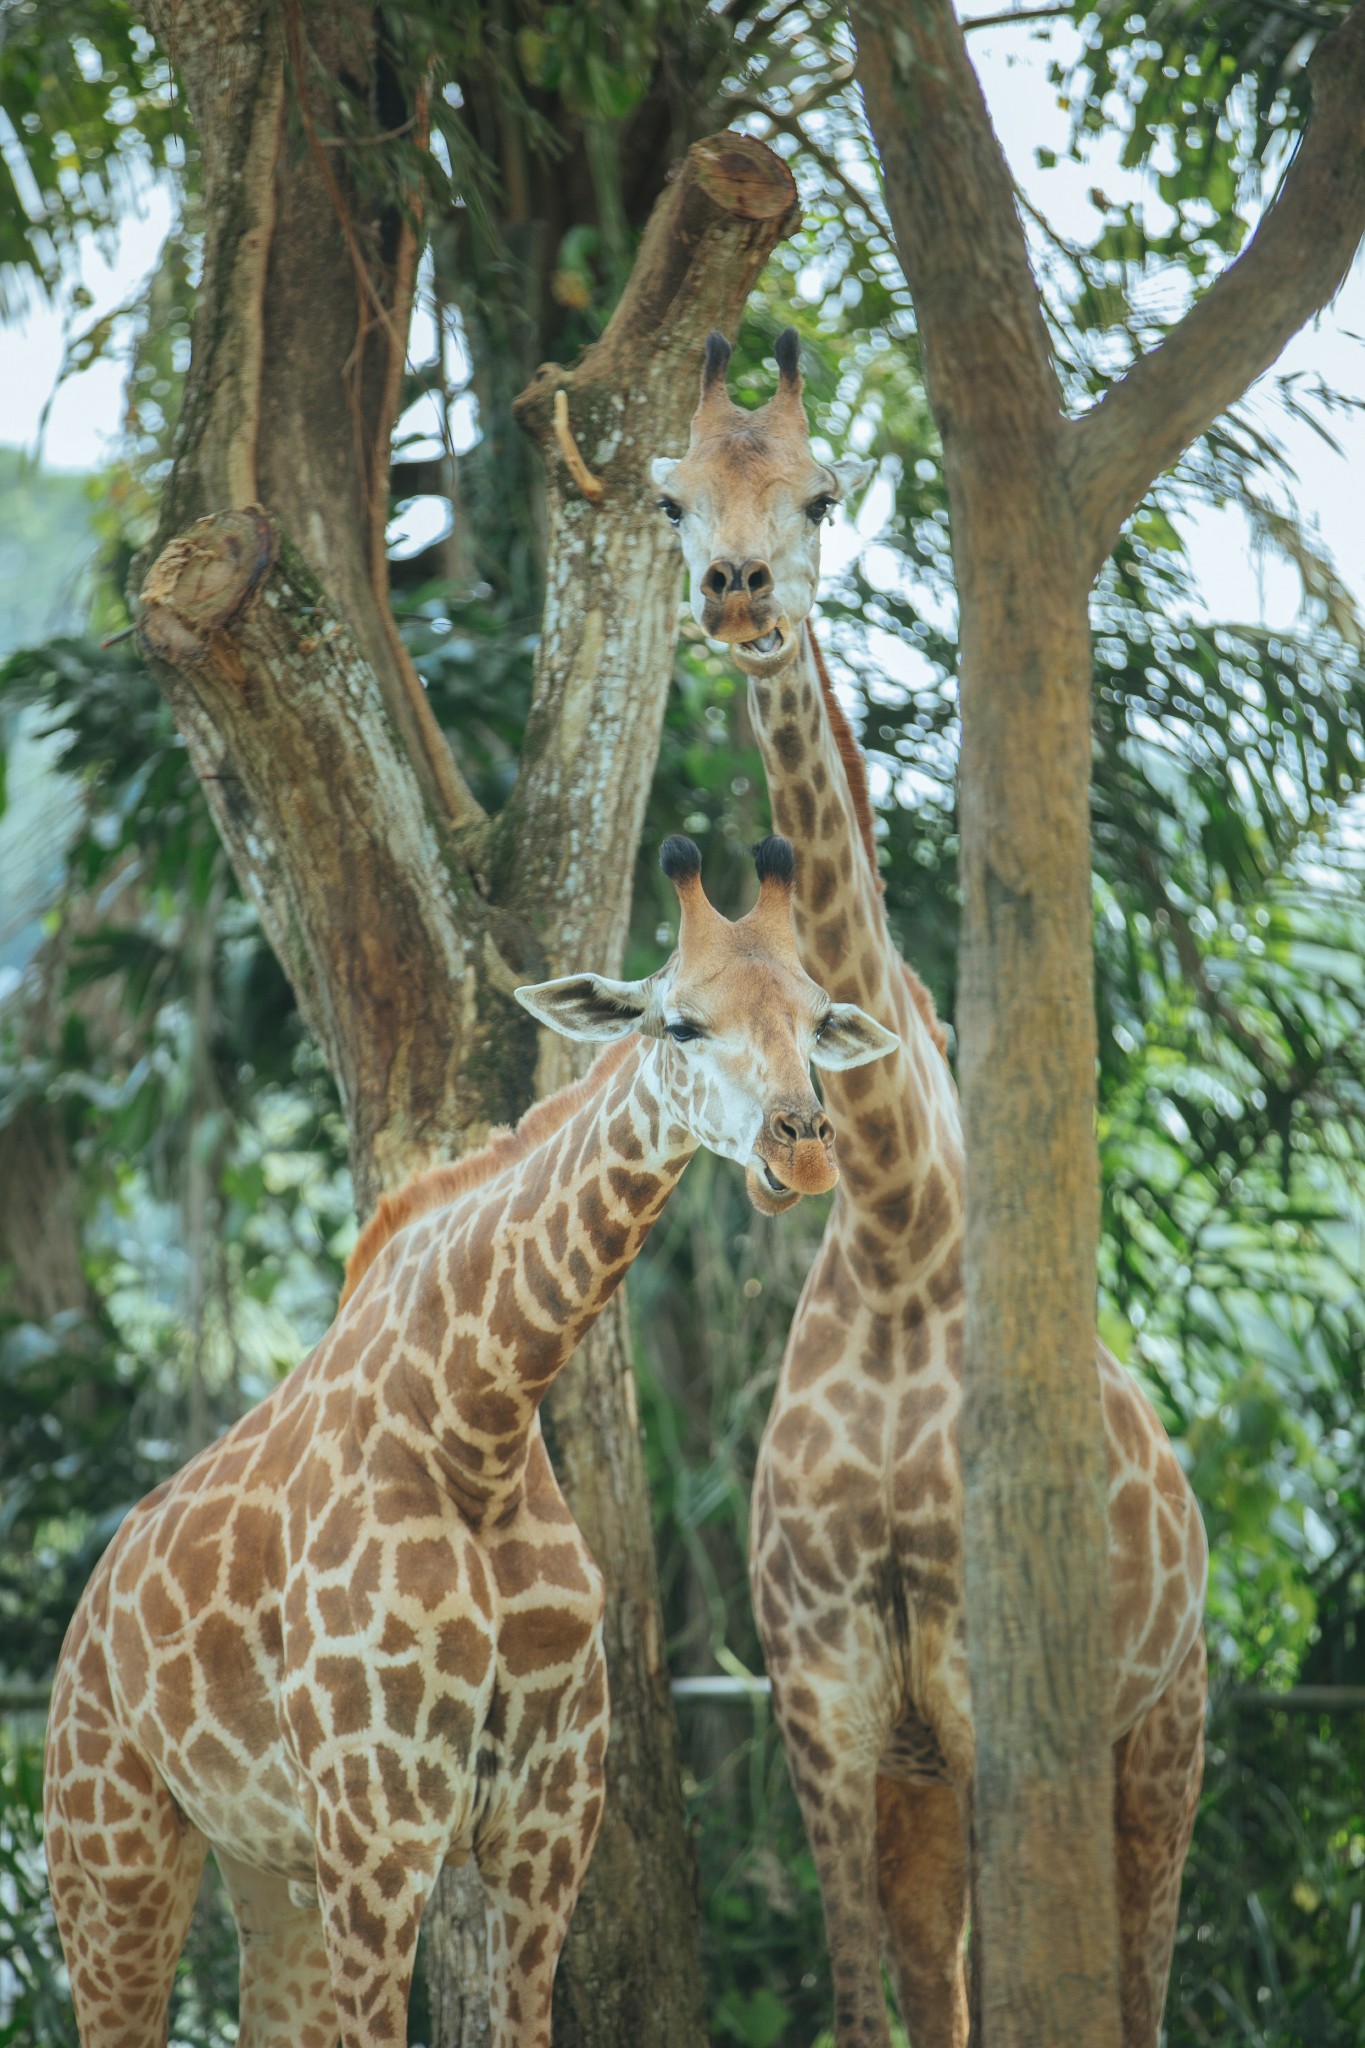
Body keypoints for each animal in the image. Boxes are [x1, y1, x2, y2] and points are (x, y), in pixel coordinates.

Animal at [40, 831, 896, 2048]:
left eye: (823, 1019)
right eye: (679, 1023)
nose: (807, 1147)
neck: (475, 1426)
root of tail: (88, 1609)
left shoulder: (545, 1827)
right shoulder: (377, 1828)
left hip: (264, 1869)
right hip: (110, 1847)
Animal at [650, 339, 1203, 2048]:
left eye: (822, 493)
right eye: (671, 497)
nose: (743, 595)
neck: (900, 1230)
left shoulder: (984, 1699)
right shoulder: (829, 1709)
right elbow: (863, 2002)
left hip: (1159, 1733)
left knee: (1136, 1983)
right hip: (932, 1784)